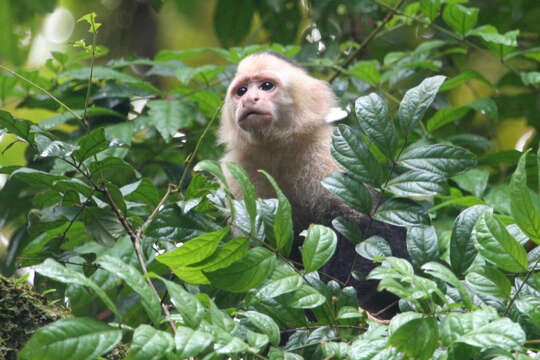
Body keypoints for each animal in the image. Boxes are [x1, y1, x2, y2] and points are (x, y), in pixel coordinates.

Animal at [217, 52, 408, 320]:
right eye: (241, 90)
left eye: (266, 86)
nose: (249, 99)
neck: (276, 150)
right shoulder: (235, 172)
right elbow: (258, 253)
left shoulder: (325, 153)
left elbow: (371, 227)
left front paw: (343, 298)